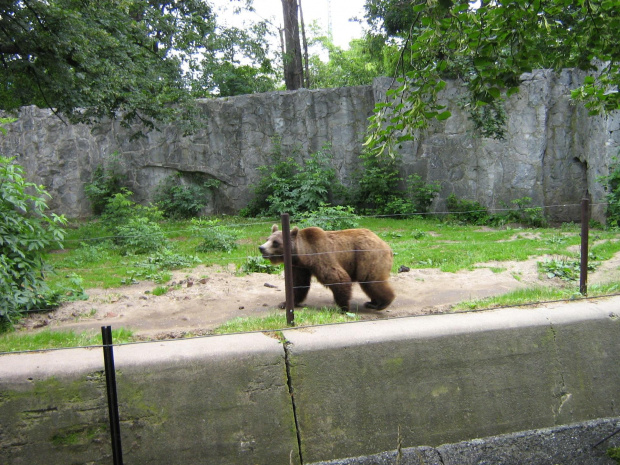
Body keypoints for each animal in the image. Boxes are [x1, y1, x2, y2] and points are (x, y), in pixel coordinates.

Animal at [258, 226, 394, 312]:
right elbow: (298, 284)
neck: (304, 254)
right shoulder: (300, 267)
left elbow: (337, 276)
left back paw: (382, 303)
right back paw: (372, 302)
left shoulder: (320, 254)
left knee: (371, 280)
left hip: (368, 256)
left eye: (275, 242)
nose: (261, 248)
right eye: (267, 239)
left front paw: (344, 307)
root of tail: (386, 245)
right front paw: (285, 303)